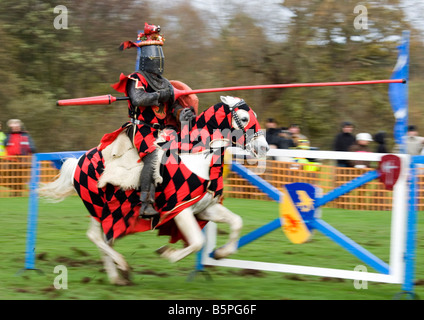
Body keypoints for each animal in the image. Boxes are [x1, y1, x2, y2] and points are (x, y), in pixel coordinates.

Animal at [38, 96, 266, 286]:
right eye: (244, 118)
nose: (263, 148)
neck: (197, 157)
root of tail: (78, 161)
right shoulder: (180, 210)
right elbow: (197, 242)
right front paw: (167, 253)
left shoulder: (205, 208)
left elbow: (236, 223)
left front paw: (220, 254)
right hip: (99, 208)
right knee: (96, 237)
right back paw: (122, 267)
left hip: (111, 214)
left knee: (105, 239)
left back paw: (117, 276)